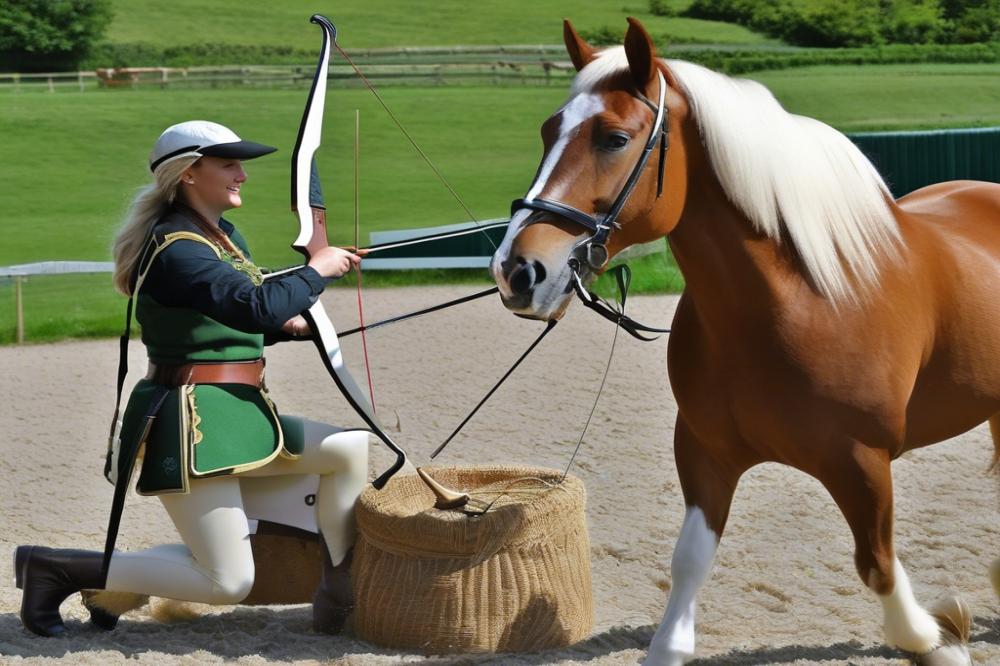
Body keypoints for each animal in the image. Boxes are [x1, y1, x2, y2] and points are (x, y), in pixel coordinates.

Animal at [492, 15, 1000, 664]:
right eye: (548, 130)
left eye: (613, 138)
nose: (516, 270)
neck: (793, 305)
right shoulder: (705, 451)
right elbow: (688, 560)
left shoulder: (862, 461)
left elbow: (878, 564)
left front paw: (935, 635)